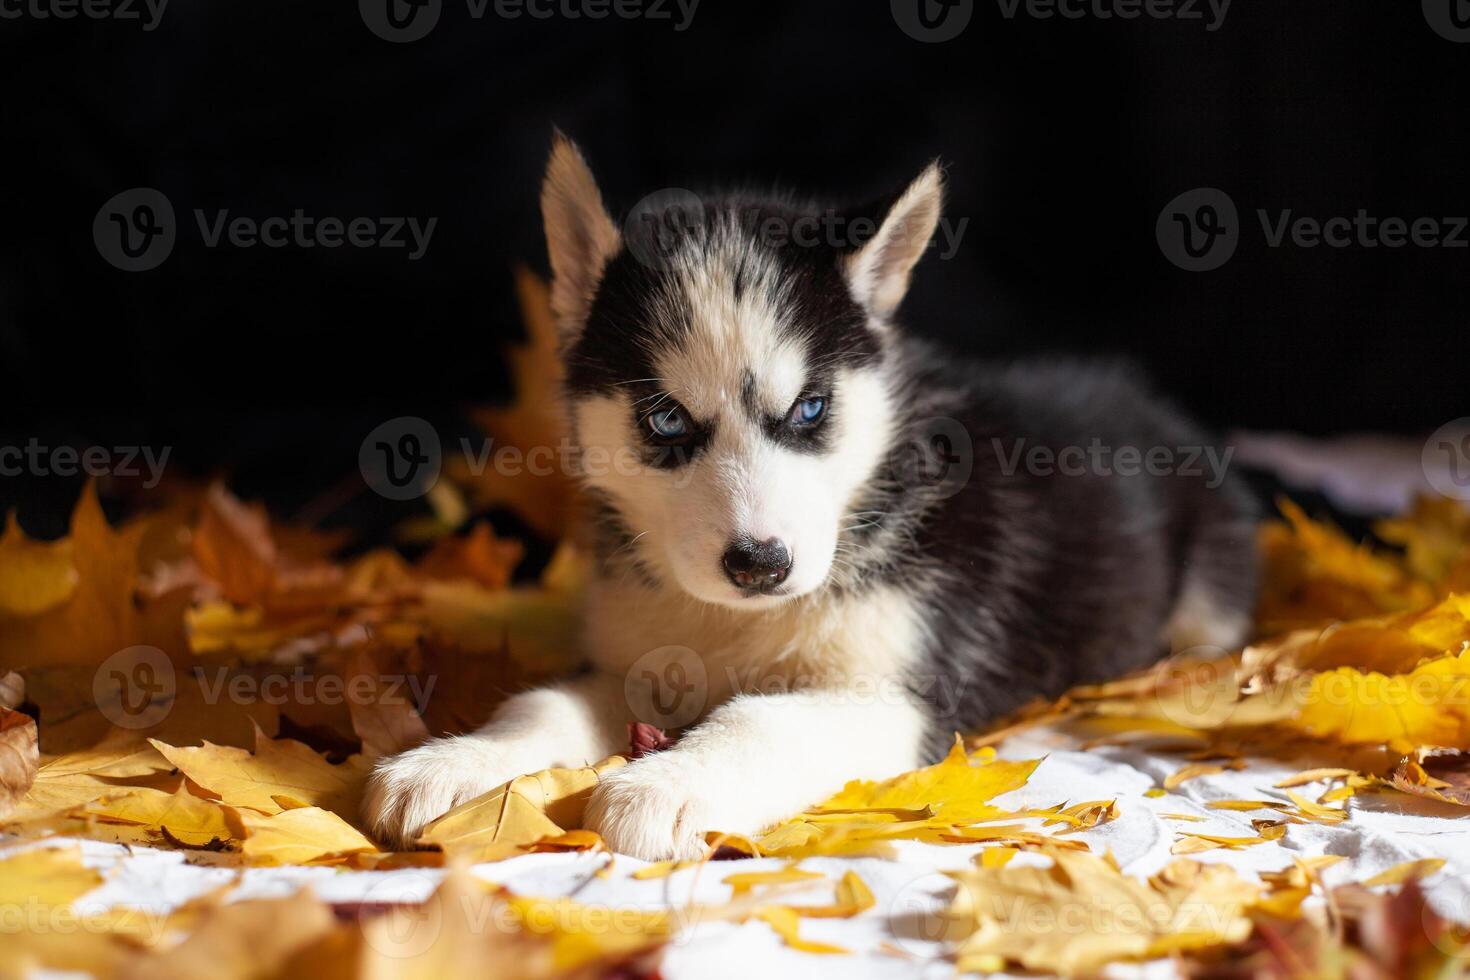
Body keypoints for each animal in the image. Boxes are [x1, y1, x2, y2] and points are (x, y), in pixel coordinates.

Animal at [361, 135, 1258, 858]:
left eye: (810, 410)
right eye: (665, 419)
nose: (760, 564)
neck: (740, 624)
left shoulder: (900, 695)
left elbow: (763, 718)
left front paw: (668, 785)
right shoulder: (638, 658)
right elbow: (546, 703)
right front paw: (457, 763)